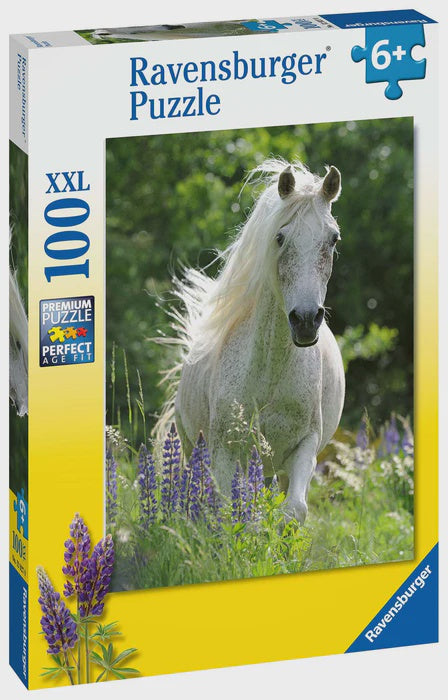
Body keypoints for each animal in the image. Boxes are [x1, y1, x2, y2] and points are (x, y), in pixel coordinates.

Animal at [160, 158, 345, 523]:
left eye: (332, 239)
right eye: (280, 237)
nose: (305, 321)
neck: (270, 372)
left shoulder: (305, 446)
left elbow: (294, 510)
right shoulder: (223, 450)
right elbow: (225, 511)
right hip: (193, 448)